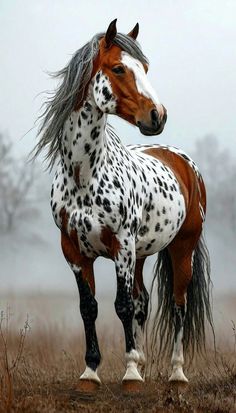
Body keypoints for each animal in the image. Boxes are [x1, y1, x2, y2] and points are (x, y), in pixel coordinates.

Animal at [33, 19, 214, 392]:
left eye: (144, 68)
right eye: (118, 68)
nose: (157, 116)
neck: (85, 174)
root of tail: (184, 161)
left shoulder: (121, 246)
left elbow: (122, 306)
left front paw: (130, 374)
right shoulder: (73, 251)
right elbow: (89, 307)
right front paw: (91, 372)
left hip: (180, 248)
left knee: (178, 304)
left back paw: (176, 373)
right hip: (141, 253)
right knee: (144, 301)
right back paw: (145, 362)